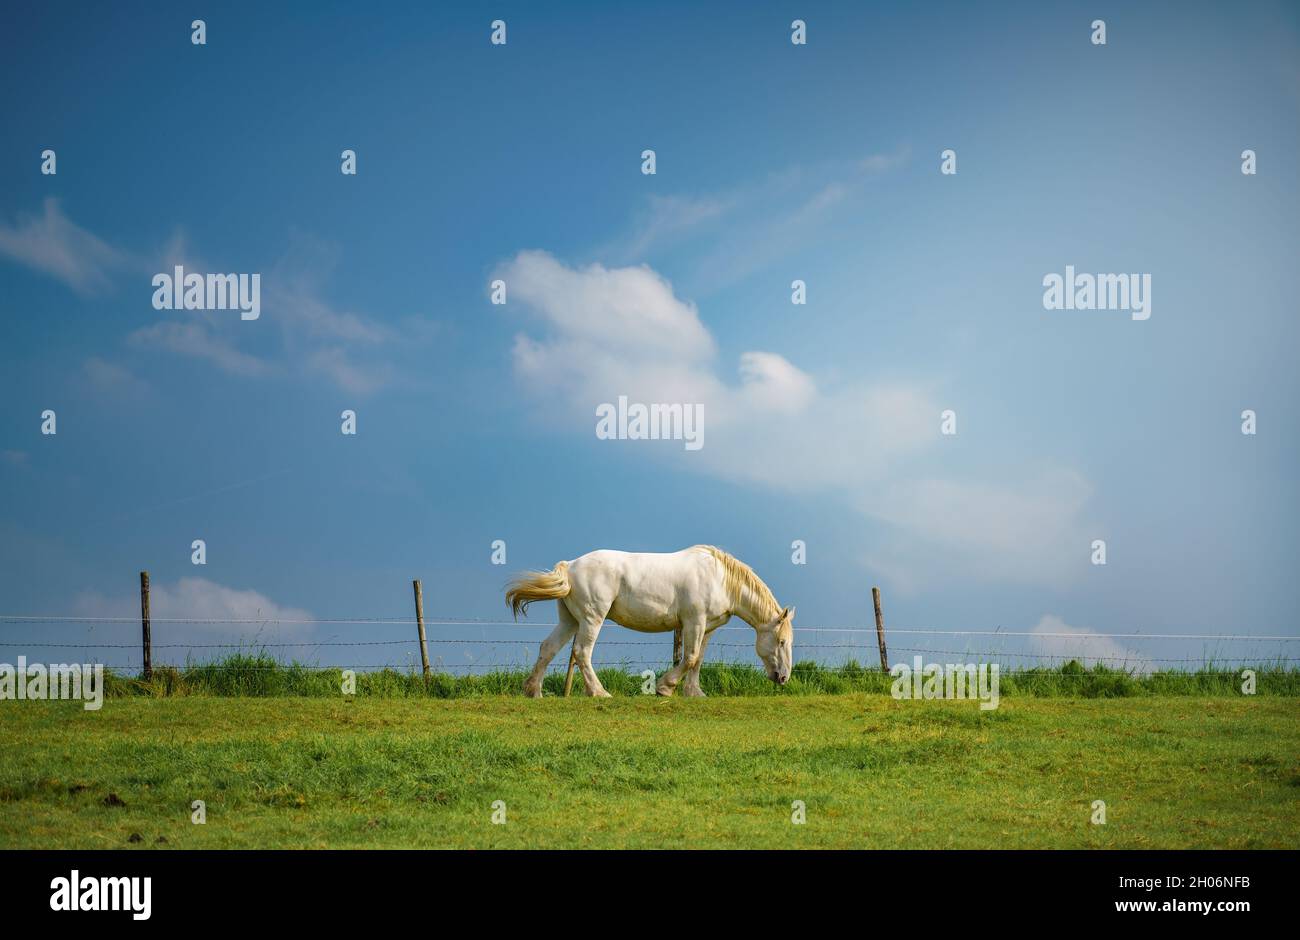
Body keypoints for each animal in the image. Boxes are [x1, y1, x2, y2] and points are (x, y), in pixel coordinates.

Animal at [505, 545, 794, 698]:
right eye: (781, 641)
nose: (783, 677)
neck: (720, 578)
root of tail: (571, 565)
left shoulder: (708, 627)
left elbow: (698, 659)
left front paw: (693, 692)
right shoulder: (694, 622)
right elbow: (689, 658)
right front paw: (665, 688)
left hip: (570, 621)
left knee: (549, 648)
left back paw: (533, 691)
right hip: (591, 618)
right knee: (582, 652)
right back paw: (599, 692)